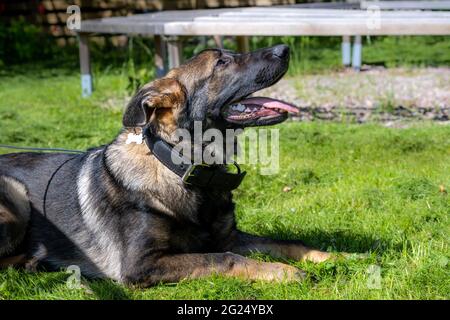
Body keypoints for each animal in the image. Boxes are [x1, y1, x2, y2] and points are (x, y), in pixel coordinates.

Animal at [0, 44, 336, 284]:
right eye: (221, 63)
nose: (285, 48)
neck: (183, 168)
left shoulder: (230, 237)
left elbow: (286, 242)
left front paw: (330, 255)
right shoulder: (142, 263)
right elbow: (224, 258)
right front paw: (282, 272)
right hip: (16, 199)